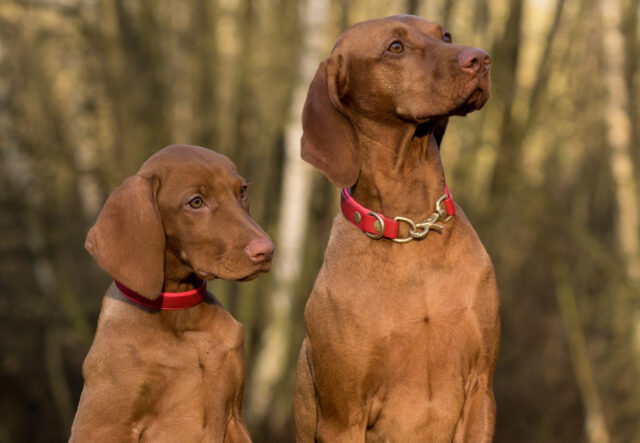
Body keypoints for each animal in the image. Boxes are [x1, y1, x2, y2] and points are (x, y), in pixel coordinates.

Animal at [70, 144, 276, 442]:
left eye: (243, 191)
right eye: (196, 202)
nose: (267, 251)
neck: (181, 317)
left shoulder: (234, 418)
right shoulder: (103, 427)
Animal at [296, 15, 500, 442]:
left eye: (446, 35)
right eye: (395, 47)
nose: (482, 59)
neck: (413, 227)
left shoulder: (480, 390)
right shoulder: (343, 416)